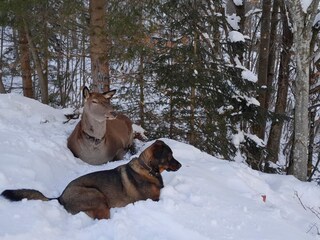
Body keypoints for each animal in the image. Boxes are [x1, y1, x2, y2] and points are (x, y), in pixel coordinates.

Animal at [0, 140, 180, 220]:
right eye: (170, 156)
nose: (180, 165)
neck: (148, 169)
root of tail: (60, 197)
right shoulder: (152, 199)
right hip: (97, 196)